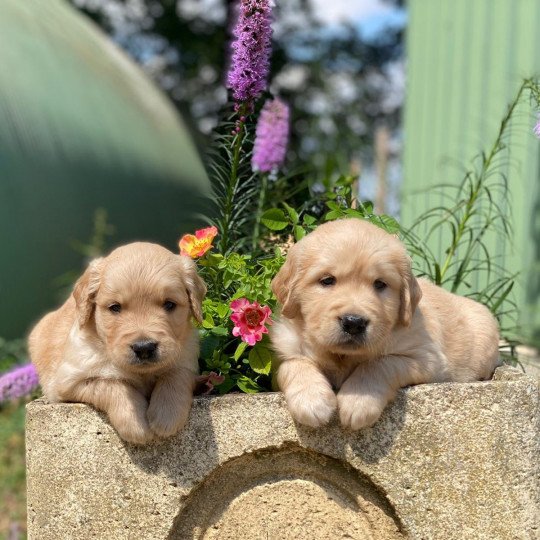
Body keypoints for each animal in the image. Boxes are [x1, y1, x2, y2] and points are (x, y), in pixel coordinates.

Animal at [29, 243, 207, 446]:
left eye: (169, 304)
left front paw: (167, 415)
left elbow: (176, 375)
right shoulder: (67, 382)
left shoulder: (186, 356)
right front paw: (135, 425)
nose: (144, 348)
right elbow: (111, 383)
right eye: (115, 307)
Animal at [272, 218, 500, 430]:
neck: (342, 357)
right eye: (327, 280)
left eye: (380, 284)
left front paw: (358, 399)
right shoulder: (290, 345)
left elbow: (379, 363)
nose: (354, 323)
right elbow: (291, 364)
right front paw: (311, 400)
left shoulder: (427, 359)